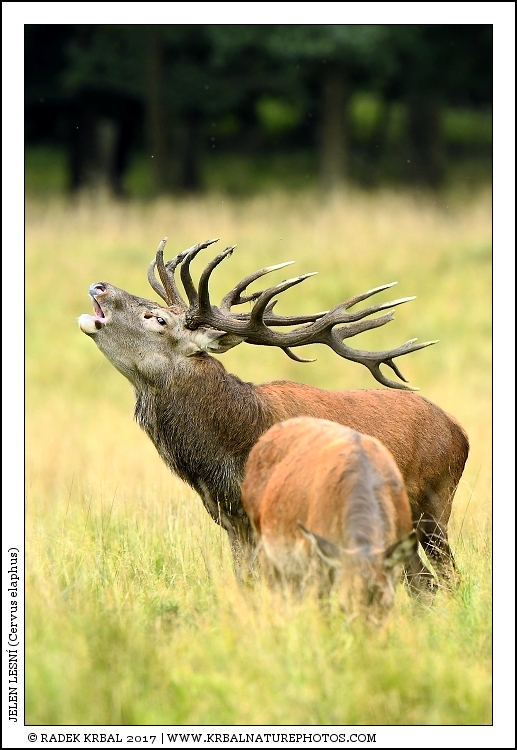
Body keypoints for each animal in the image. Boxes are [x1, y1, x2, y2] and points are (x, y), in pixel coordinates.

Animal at [78, 237, 469, 594]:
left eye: (157, 318)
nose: (100, 285)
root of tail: (459, 432)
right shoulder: (233, 521)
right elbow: (248, 585)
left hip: (434, 505)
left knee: (447, 578)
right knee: (423, 584)